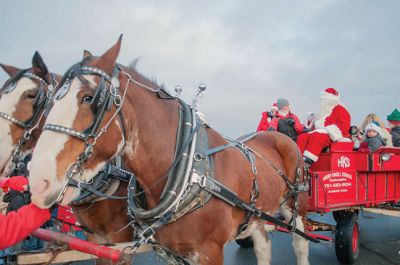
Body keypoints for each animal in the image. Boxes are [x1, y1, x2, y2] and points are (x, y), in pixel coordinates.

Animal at [28, 37, 310, 264]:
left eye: (89, 98)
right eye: (50, 102)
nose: (38, 181)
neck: (193, 173)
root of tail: (277, 135)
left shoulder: (208, 252)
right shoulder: (165, 250)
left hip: (295, 205)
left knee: (301, 244)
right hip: (257, 215)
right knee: (263, 245)